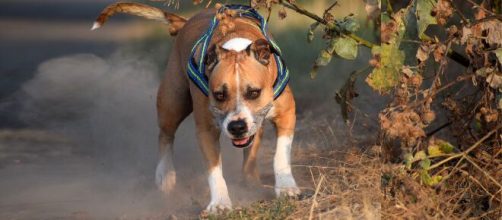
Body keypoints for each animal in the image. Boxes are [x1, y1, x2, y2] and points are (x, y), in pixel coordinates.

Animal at [92, 1, 300, 211]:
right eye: (219, 95)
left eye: (254, 93)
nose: (237, 126)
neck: (234, 45)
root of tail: (185, 22)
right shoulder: (205, 130)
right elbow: (214, 169)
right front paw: (219, 203)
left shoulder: (287, 114)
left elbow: (281, 155)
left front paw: (286, 187)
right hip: (173, 102)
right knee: (165, 135)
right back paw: (165, 175)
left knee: (251, 148)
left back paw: (250, 180)